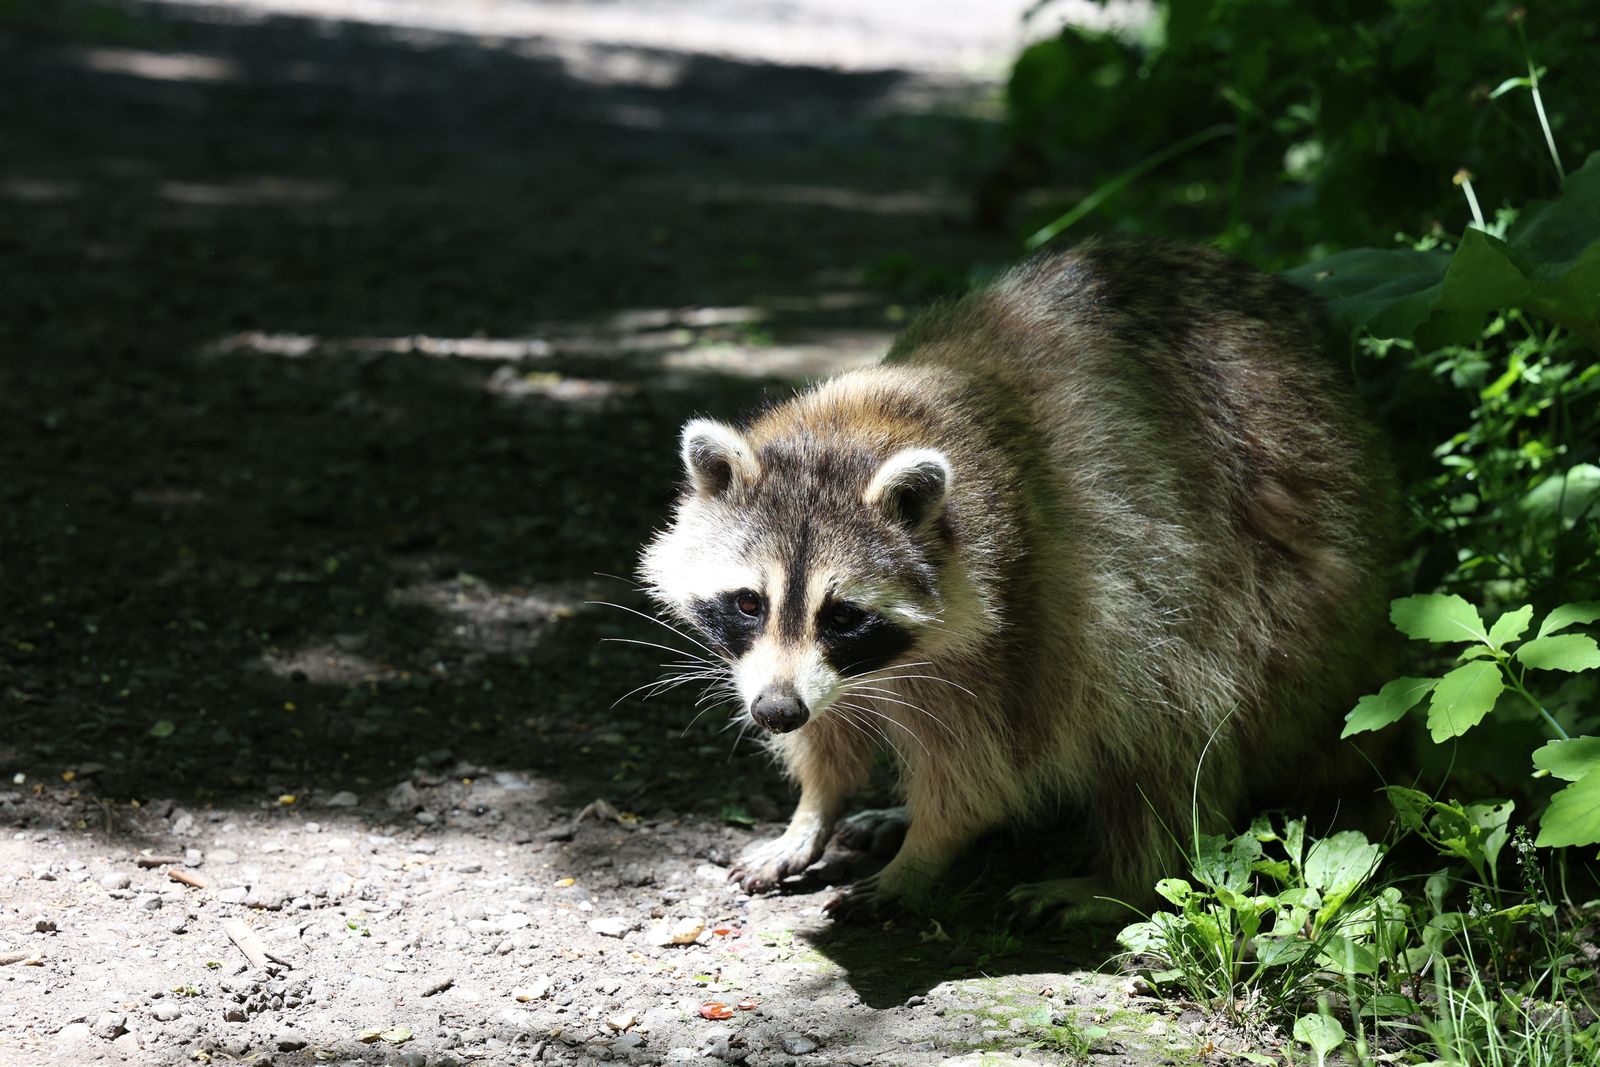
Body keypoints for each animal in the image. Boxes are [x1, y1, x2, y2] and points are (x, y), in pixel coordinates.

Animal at [638, 240, 1394, 919]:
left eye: (844, 615)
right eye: (748, 601)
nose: (774, 711)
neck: (859, 426)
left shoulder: (1033, 611)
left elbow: (989, 763)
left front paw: (925, 849)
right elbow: (829, 731)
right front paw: (813, 809)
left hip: (1279, 605)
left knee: (1175, 703)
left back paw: (1126, 876)